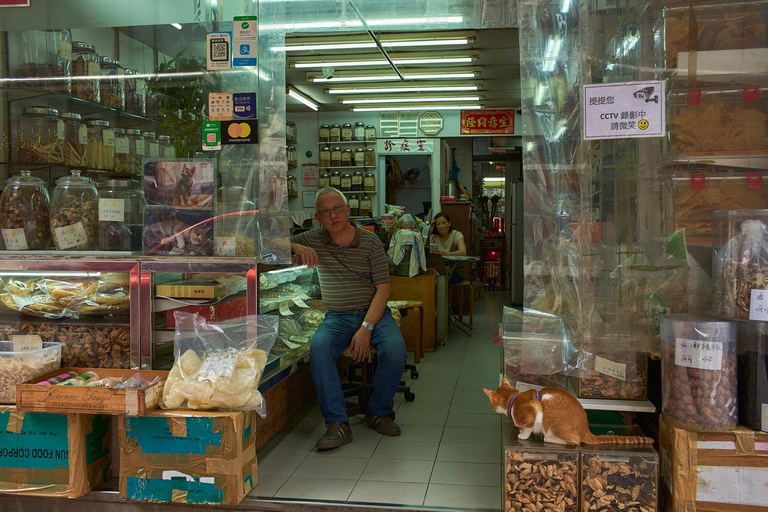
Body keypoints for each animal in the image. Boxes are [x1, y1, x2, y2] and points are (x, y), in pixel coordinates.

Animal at [484, 378, 652, 446]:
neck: (514, 399)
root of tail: (586, 429)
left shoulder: (533, 412)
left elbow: (528, 428)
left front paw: (523, 435)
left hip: (556, 426)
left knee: (575, 441)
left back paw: (549, 439)